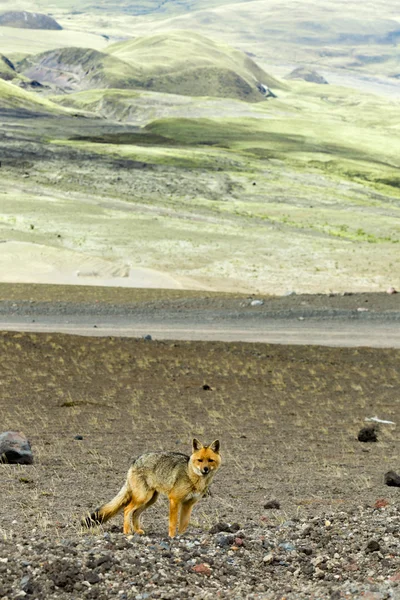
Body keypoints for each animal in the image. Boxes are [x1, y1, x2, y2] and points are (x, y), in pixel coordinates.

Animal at [82, 438, 220, 536]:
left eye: (210, 460)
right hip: (143, 497)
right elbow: (173, 522)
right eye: (200, 460)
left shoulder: (188, 504)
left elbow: (184, 523)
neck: (192, 476)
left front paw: (181, 536)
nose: (205, 469)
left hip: (150, 500)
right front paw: (172, 537)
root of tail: (135, 461)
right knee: (127, 509)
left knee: (135, 513)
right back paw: (127, 532)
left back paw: (137, 530)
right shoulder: (174, 500)